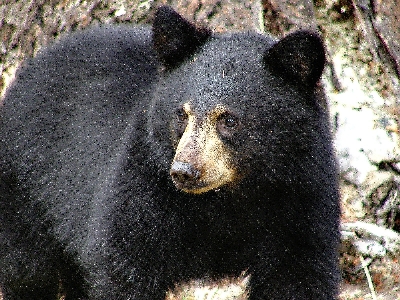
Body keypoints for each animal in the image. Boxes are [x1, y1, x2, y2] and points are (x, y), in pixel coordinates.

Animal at [0, 5, 340, 300]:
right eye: (181, 114)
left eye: (229, 119)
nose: (184, 171)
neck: (229, 198)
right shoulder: (142, 188)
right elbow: (123, 265)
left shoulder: (303, 196)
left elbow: (299, 276)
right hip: (25, 190)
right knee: (29, 271)